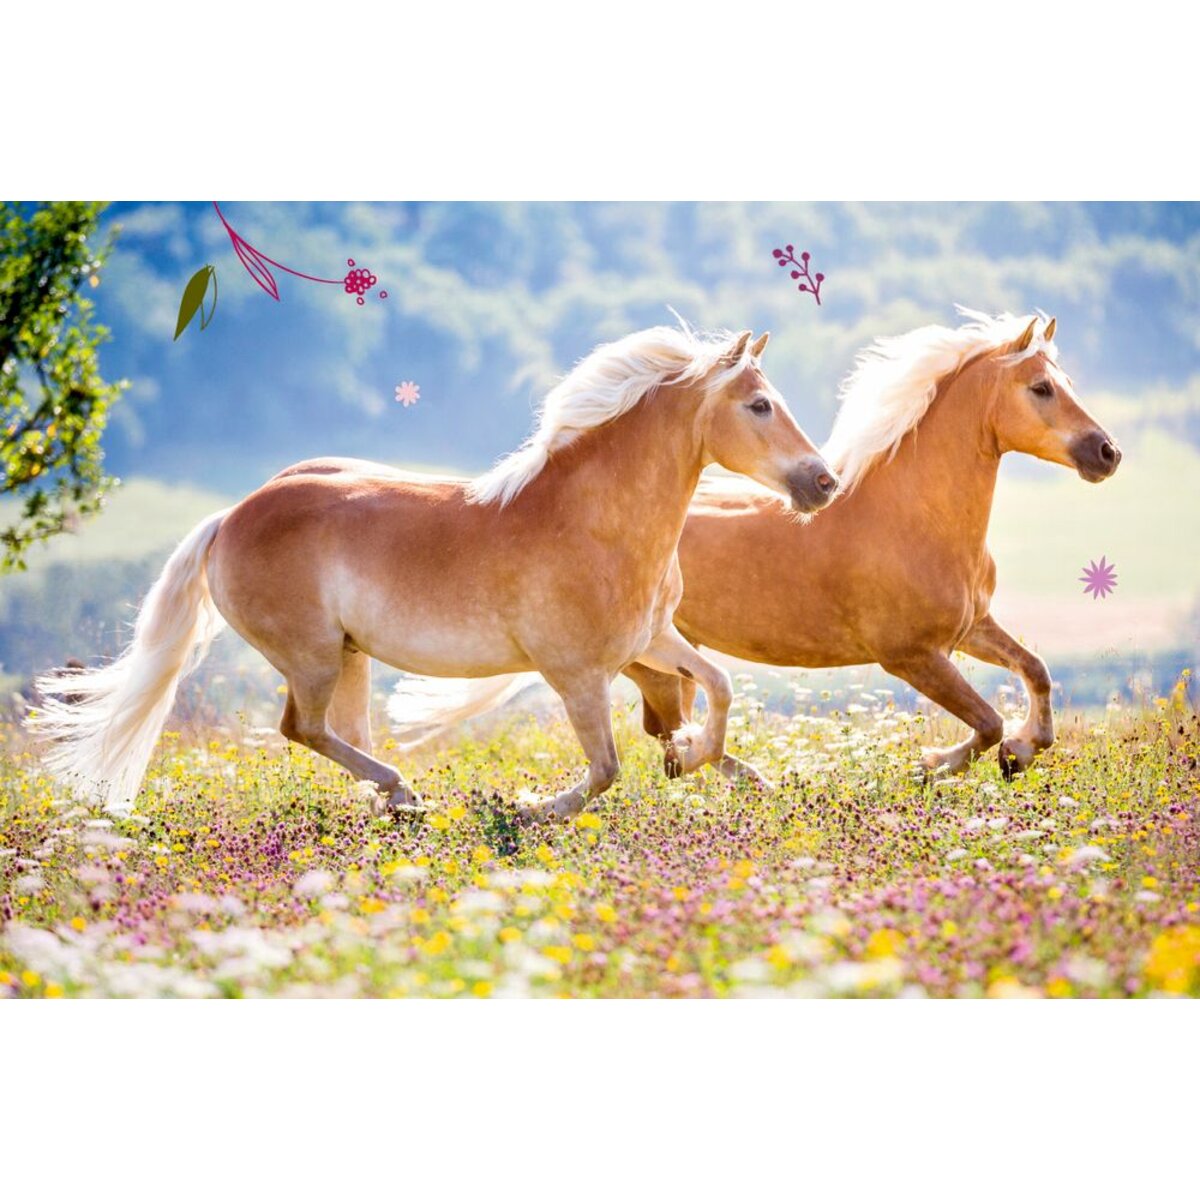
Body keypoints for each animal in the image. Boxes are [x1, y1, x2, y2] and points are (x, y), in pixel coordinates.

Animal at [32, 324, 837, 821]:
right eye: (759, 405)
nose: (823, 484)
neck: (593, 521)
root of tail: (230, 516)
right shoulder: (575, 673)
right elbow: (606, 768)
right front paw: (533, 809)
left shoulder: (651, 641)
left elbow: (719, 687)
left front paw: (703, 758)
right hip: (311, 656)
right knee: (300, 727)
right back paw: (402, 792)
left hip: (349, 657)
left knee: (337, 732)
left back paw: (392, 802)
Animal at [625, 311, 1122, 780]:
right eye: (1041, 388)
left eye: (1067, 383)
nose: (1107, 453)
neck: (917, 521)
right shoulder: (910, 657)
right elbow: (988, 722)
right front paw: (935, 764)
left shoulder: (970, 628)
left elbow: (1036, 671)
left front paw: (1019, 752)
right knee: (670, 732)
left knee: (671, 731)